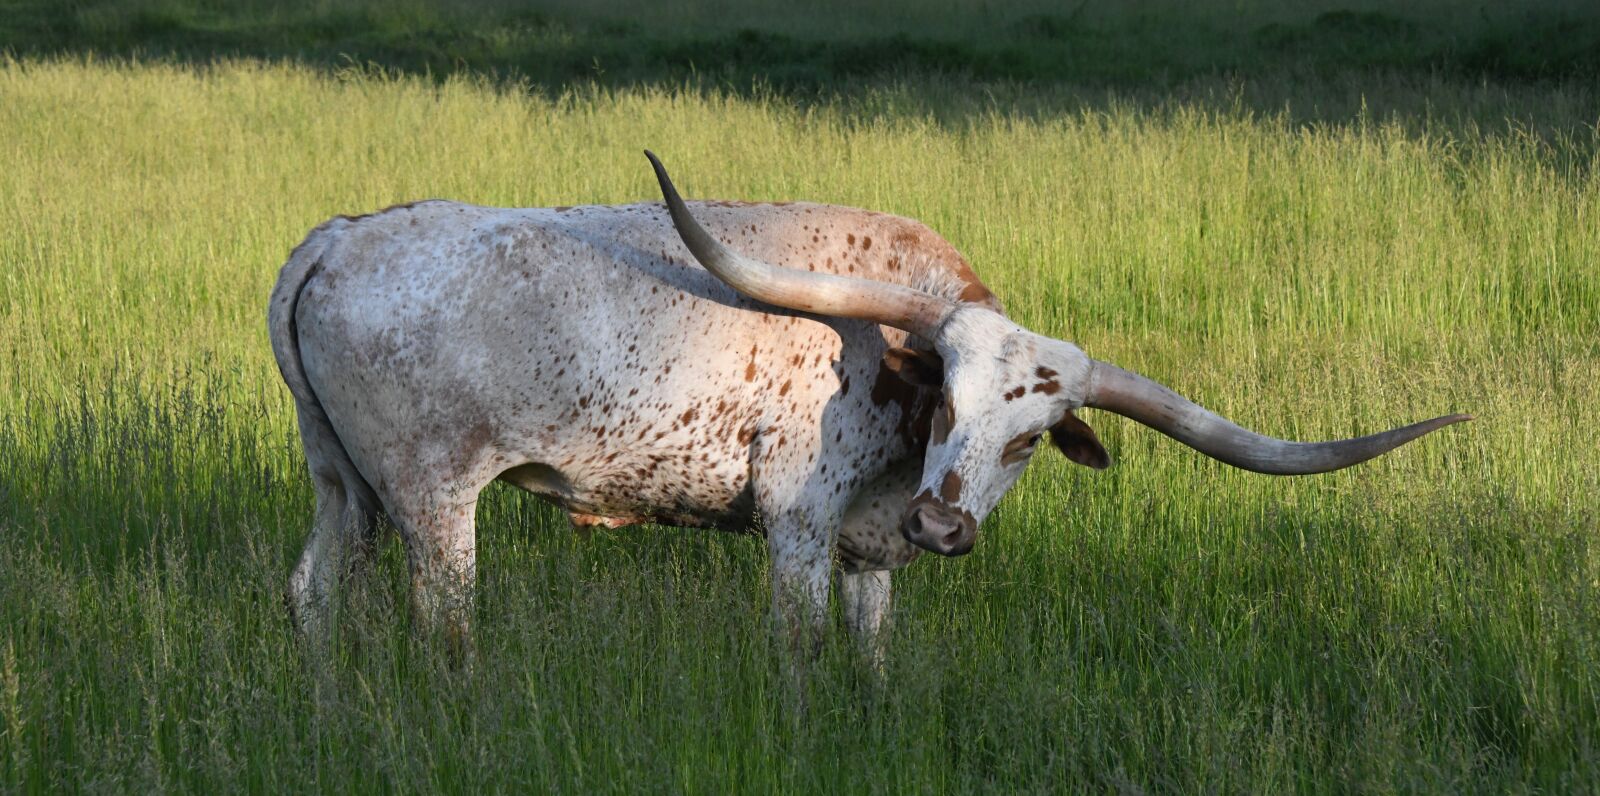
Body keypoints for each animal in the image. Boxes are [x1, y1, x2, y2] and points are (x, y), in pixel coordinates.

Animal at [267, 151, 1469, 656]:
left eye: (1031, 438)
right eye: (948, 400)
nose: (943, 524)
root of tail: (336, 236)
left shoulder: (869, 555)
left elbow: (872, 662)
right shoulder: (796, 529)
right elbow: (799, 655)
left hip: (343, 489)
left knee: (314, 596)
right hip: (432, 501)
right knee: (443, 626)